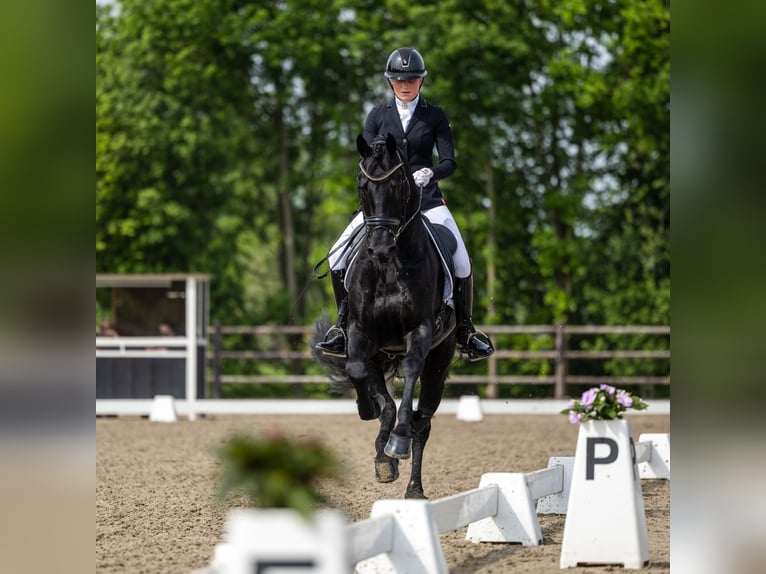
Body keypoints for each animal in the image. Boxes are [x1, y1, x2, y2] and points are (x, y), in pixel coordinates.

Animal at [312, 134, 456, 500]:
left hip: (442, 355)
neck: (390, 267)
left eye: (398, 184)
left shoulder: (420, 332)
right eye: (362, 185)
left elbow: (410, 378)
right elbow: (358, 373)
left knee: (424, 420)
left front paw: (398, 440)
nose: (379, 248)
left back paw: (414, 488)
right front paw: (370, 419)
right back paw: (384, 452)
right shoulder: (361, 333)